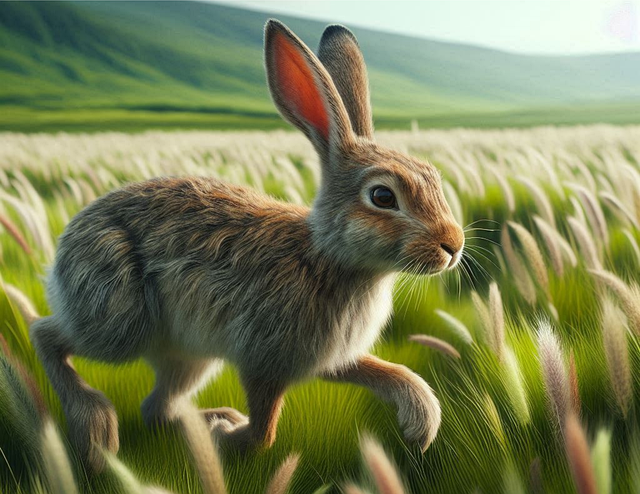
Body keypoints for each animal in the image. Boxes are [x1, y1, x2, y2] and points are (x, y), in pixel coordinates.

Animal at [27, 19, 465, 472]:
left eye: (434, 177)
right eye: (382, 196)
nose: (453, 245)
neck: (328, 257)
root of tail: (64, 249)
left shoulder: (326, 357)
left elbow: (381, 369)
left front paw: (420, 419)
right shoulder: (264, 359)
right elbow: (263, 432)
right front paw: (228, 440)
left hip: (188, 355)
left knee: (157, 407)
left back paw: (203, 424)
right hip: (117, 319)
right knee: (45, 333)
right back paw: (97, 429)